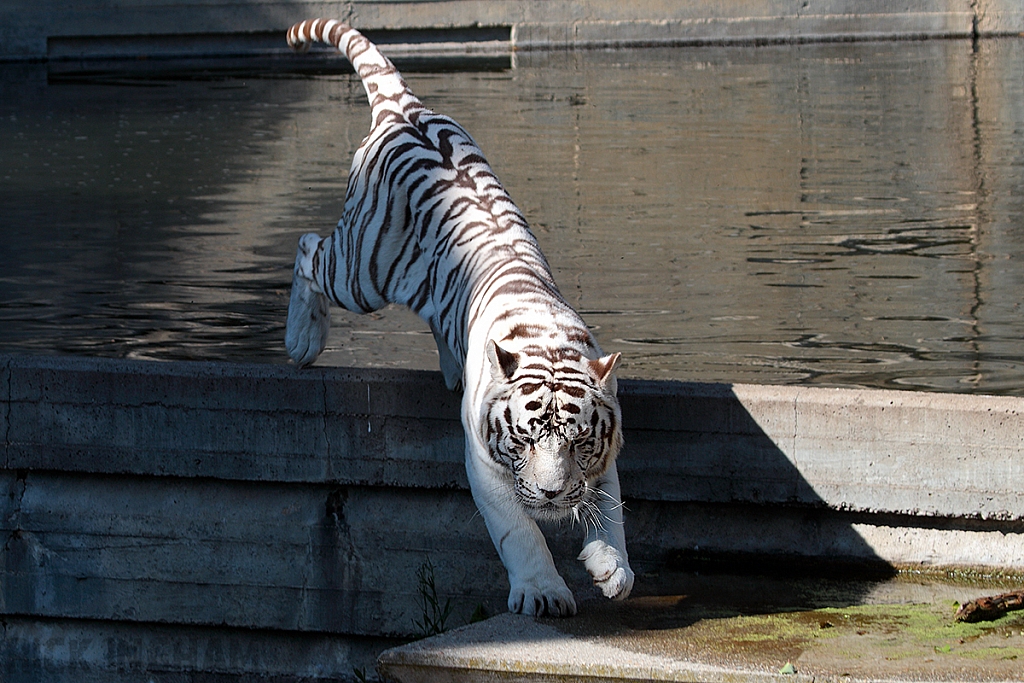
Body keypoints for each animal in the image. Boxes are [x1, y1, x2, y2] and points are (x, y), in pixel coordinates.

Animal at [282, 20, 630, 618]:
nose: (553, 493)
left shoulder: (605, 447)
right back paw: (301, 339)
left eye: (581, 442)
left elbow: (611, 511)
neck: (548, 343)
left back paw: (450, 366)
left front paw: (612, 569)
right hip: (363, 268)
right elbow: (520, 531)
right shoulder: (486, 466)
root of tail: (405, 108)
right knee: (308, 249)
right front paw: (543, 591)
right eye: (527, 440)